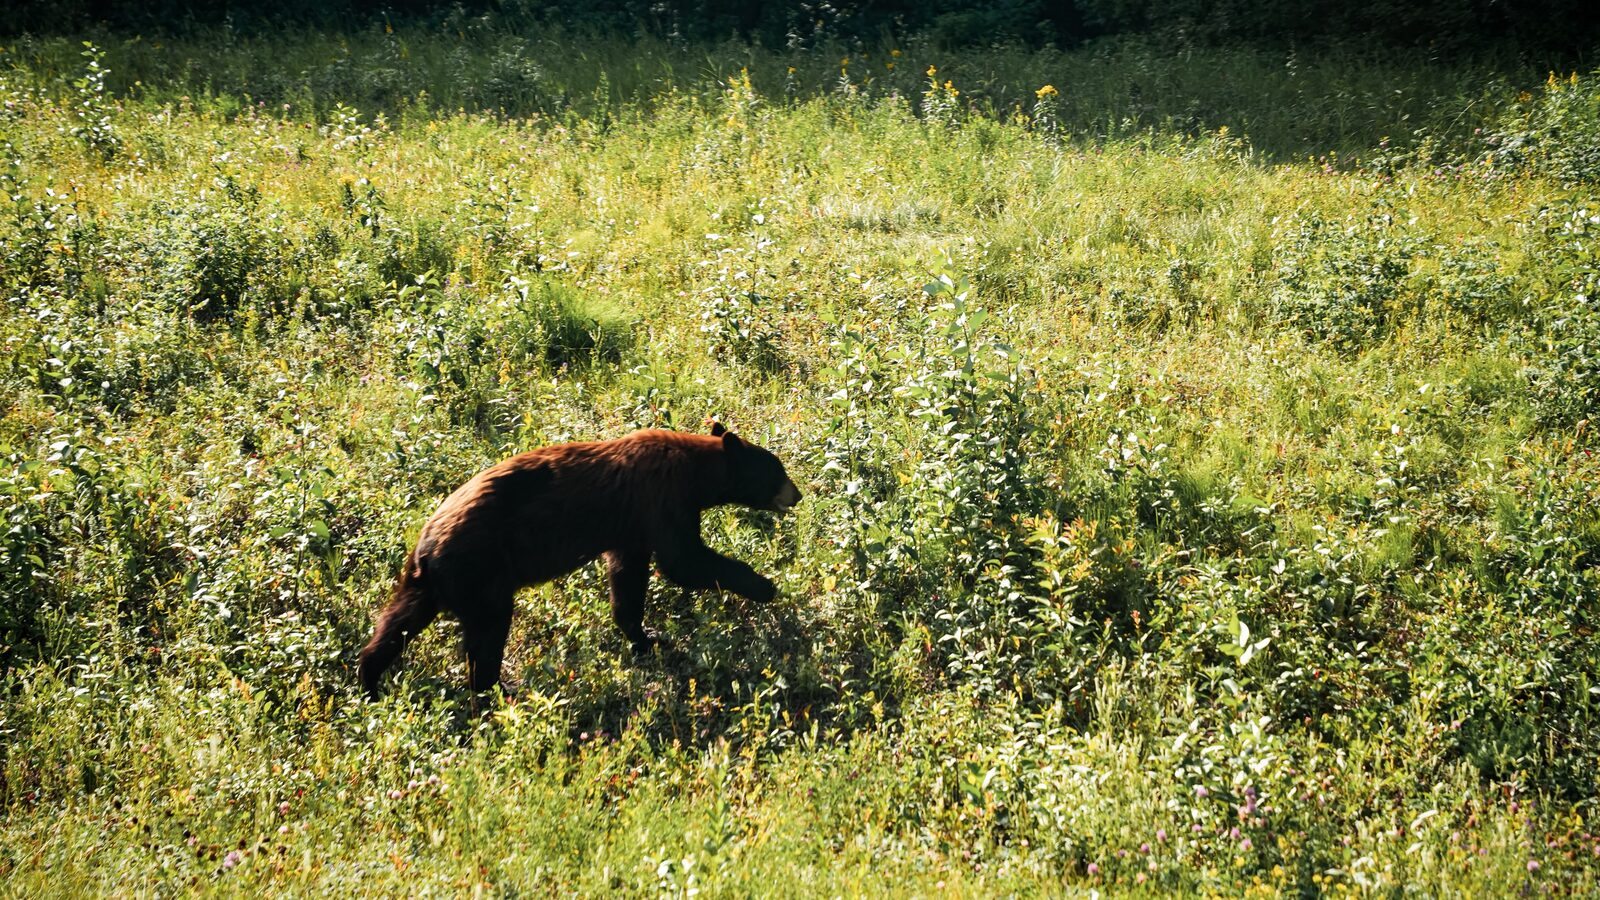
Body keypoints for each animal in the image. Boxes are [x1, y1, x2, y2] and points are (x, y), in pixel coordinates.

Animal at [358, 422, 802, 698]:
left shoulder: (630, 529)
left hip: (428, 582)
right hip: (480, 571)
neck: (696, 471)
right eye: (778, 470)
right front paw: (764, 585)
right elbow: (682, 560)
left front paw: (647, 639)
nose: (796, 494)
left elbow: (628, 579)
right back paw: (500, 690)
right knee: (487, 634)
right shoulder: (663, 499)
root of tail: (427, 546)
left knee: (397, 623)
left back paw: (369, 681)